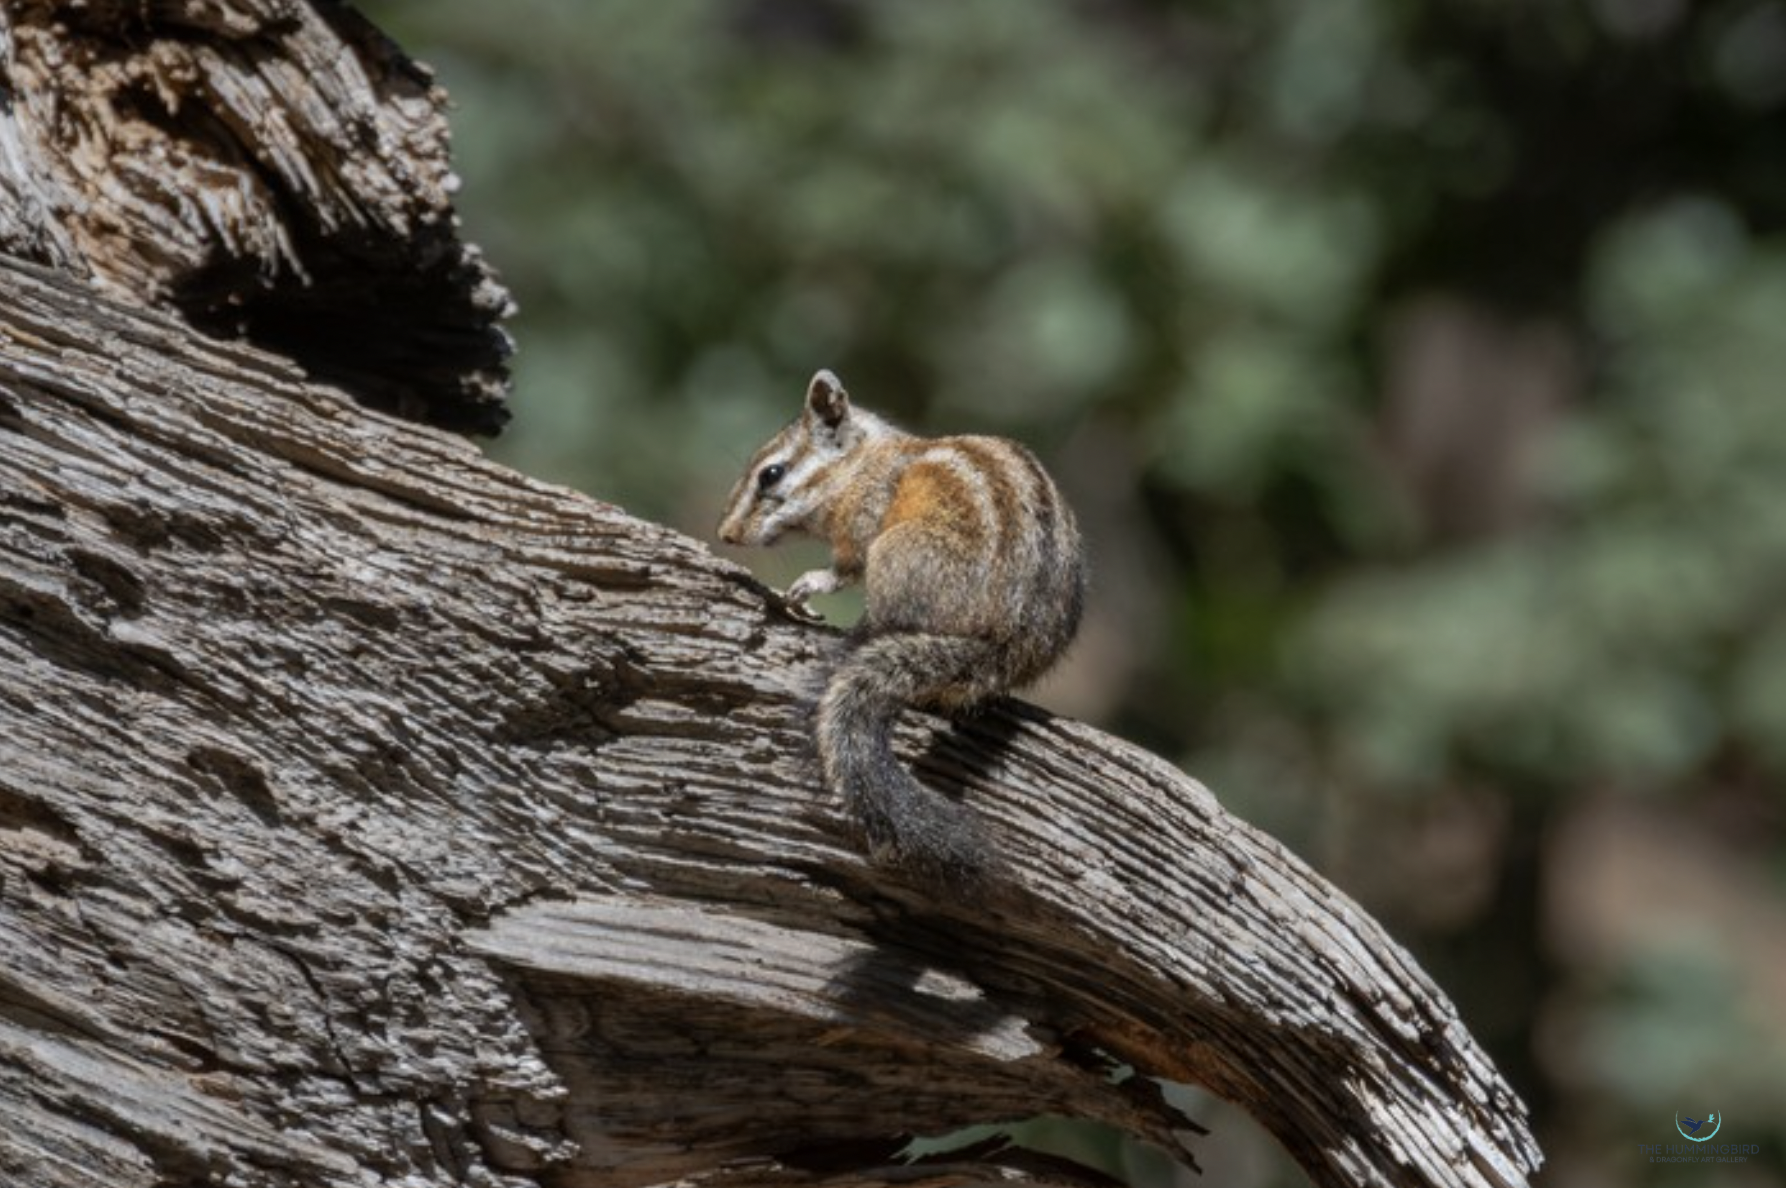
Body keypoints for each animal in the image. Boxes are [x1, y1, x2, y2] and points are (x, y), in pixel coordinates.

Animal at [717, 369, 1086, 882]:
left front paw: (808, 585)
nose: (726, 534)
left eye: (771, 473)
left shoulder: (863, 524)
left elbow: (843, 569)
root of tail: (1008, 643)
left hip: (894, 555)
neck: (858, 465)